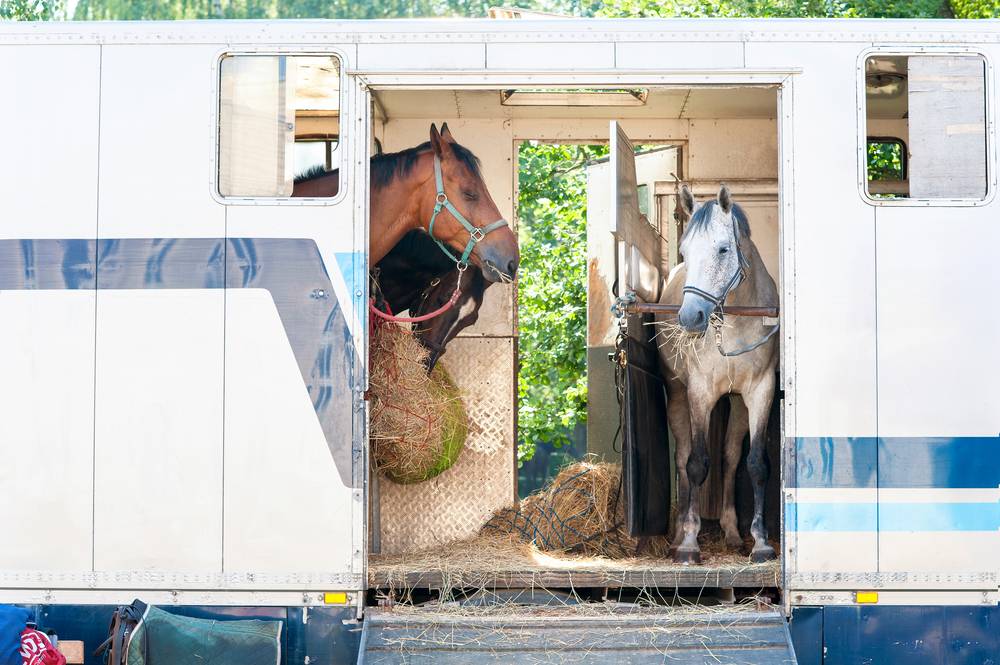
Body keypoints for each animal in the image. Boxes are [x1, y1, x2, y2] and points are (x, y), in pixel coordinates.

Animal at [656, 184, 780, 564]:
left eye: (723, 249)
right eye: (684, 252)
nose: (690, 317)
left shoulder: (760, 391)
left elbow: (755, 464)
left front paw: (760, 542)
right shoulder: (700, 392)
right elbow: (696, 463)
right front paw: (689, 543)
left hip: (736, 402)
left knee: (730, 457)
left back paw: (731, 532)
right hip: (677, 394)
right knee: (682, 457)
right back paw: (678, 534)